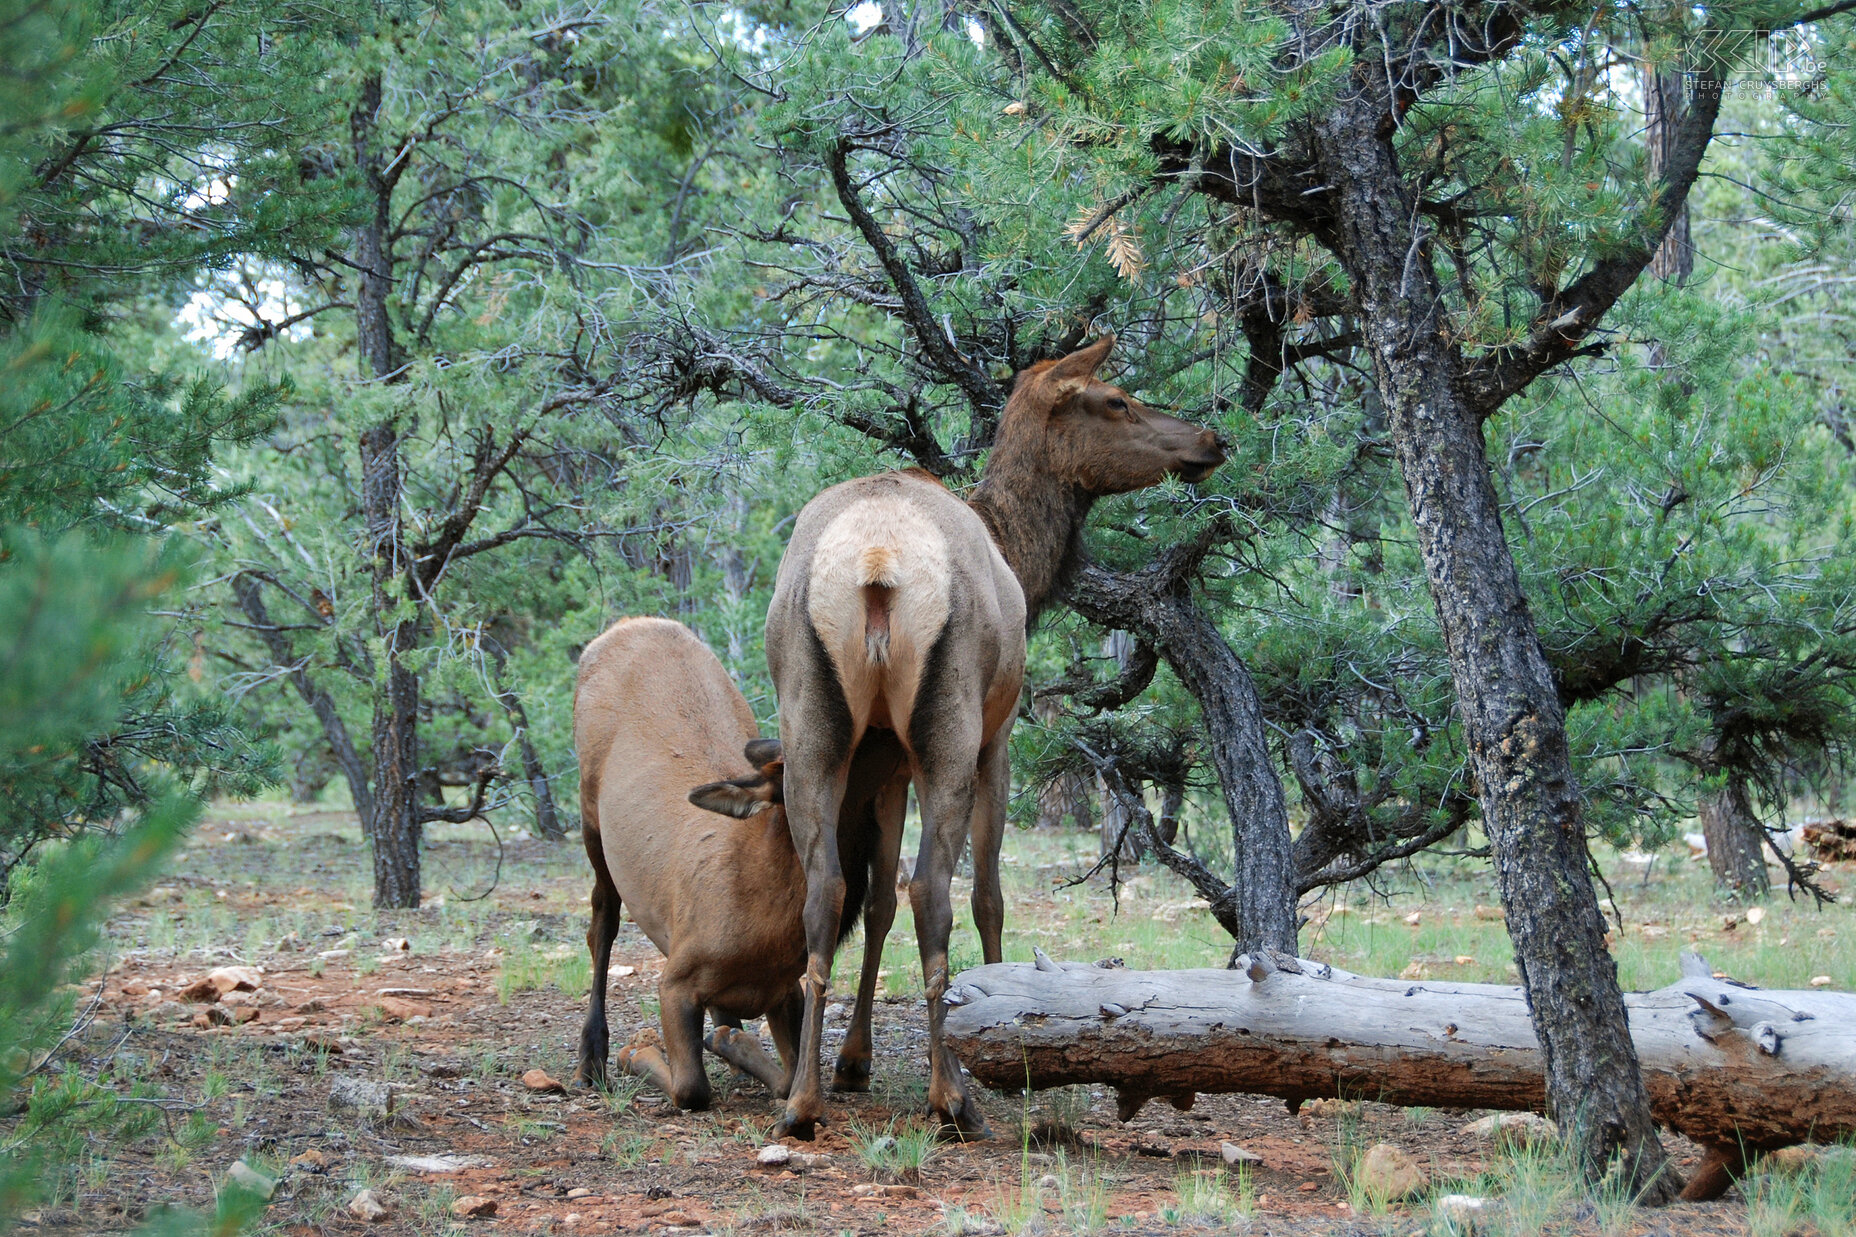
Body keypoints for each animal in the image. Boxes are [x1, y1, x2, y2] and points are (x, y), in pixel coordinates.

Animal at [571, 616, 905, 1106]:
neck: (770, 933)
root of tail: (626, 624)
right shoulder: (674, 980)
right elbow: (691, 1087)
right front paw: (635, 1053)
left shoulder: (787, 990)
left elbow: (789, 1077)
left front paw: (733, 1043)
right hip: (590, 817)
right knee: (602, 923)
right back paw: (592, 1056)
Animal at [760, 332, 1224, 1129]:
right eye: (1117, 400)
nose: (1209, 439)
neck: (1021, 558)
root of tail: (876, 565)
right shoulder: (997, 737)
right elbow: (988, 896)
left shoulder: (884, 758)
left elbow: (874, 903)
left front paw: (856, 1059)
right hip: (951, 726)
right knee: (933, 891)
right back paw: (953, 1095)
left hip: (813, 728)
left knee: (828, 888)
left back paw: (804, 1098)